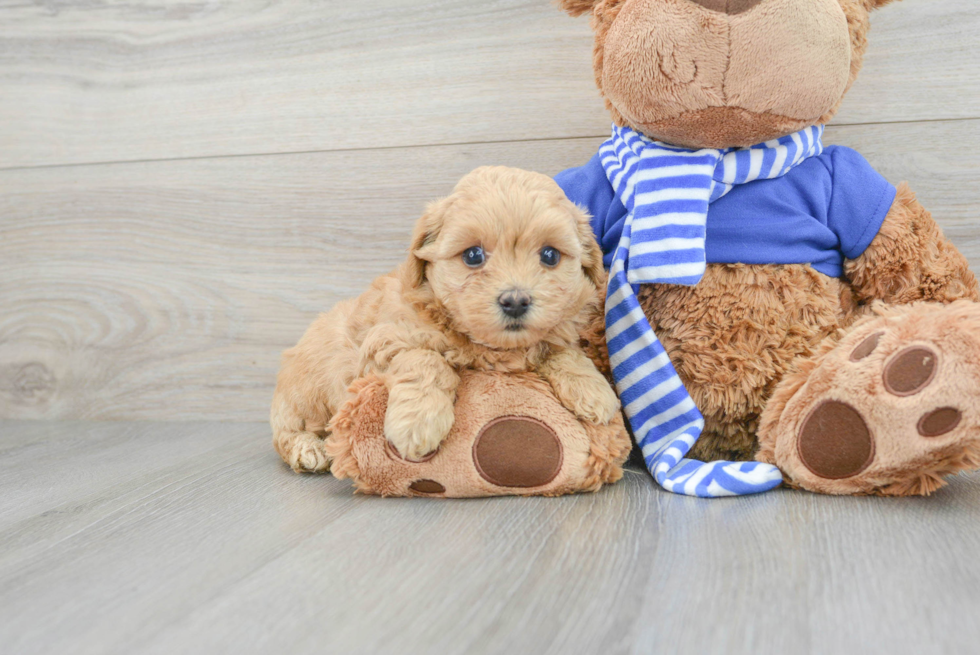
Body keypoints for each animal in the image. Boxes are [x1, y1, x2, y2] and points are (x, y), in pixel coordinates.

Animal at [268, 164, 620, 472]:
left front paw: (593, 389)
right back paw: (308, 450)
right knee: (285, 432)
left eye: (550, 255)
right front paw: (418, 422)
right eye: (473, 256)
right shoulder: (386, 340)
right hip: (305, 395)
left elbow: (561, 350)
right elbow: (427, 361)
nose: (515, 301)